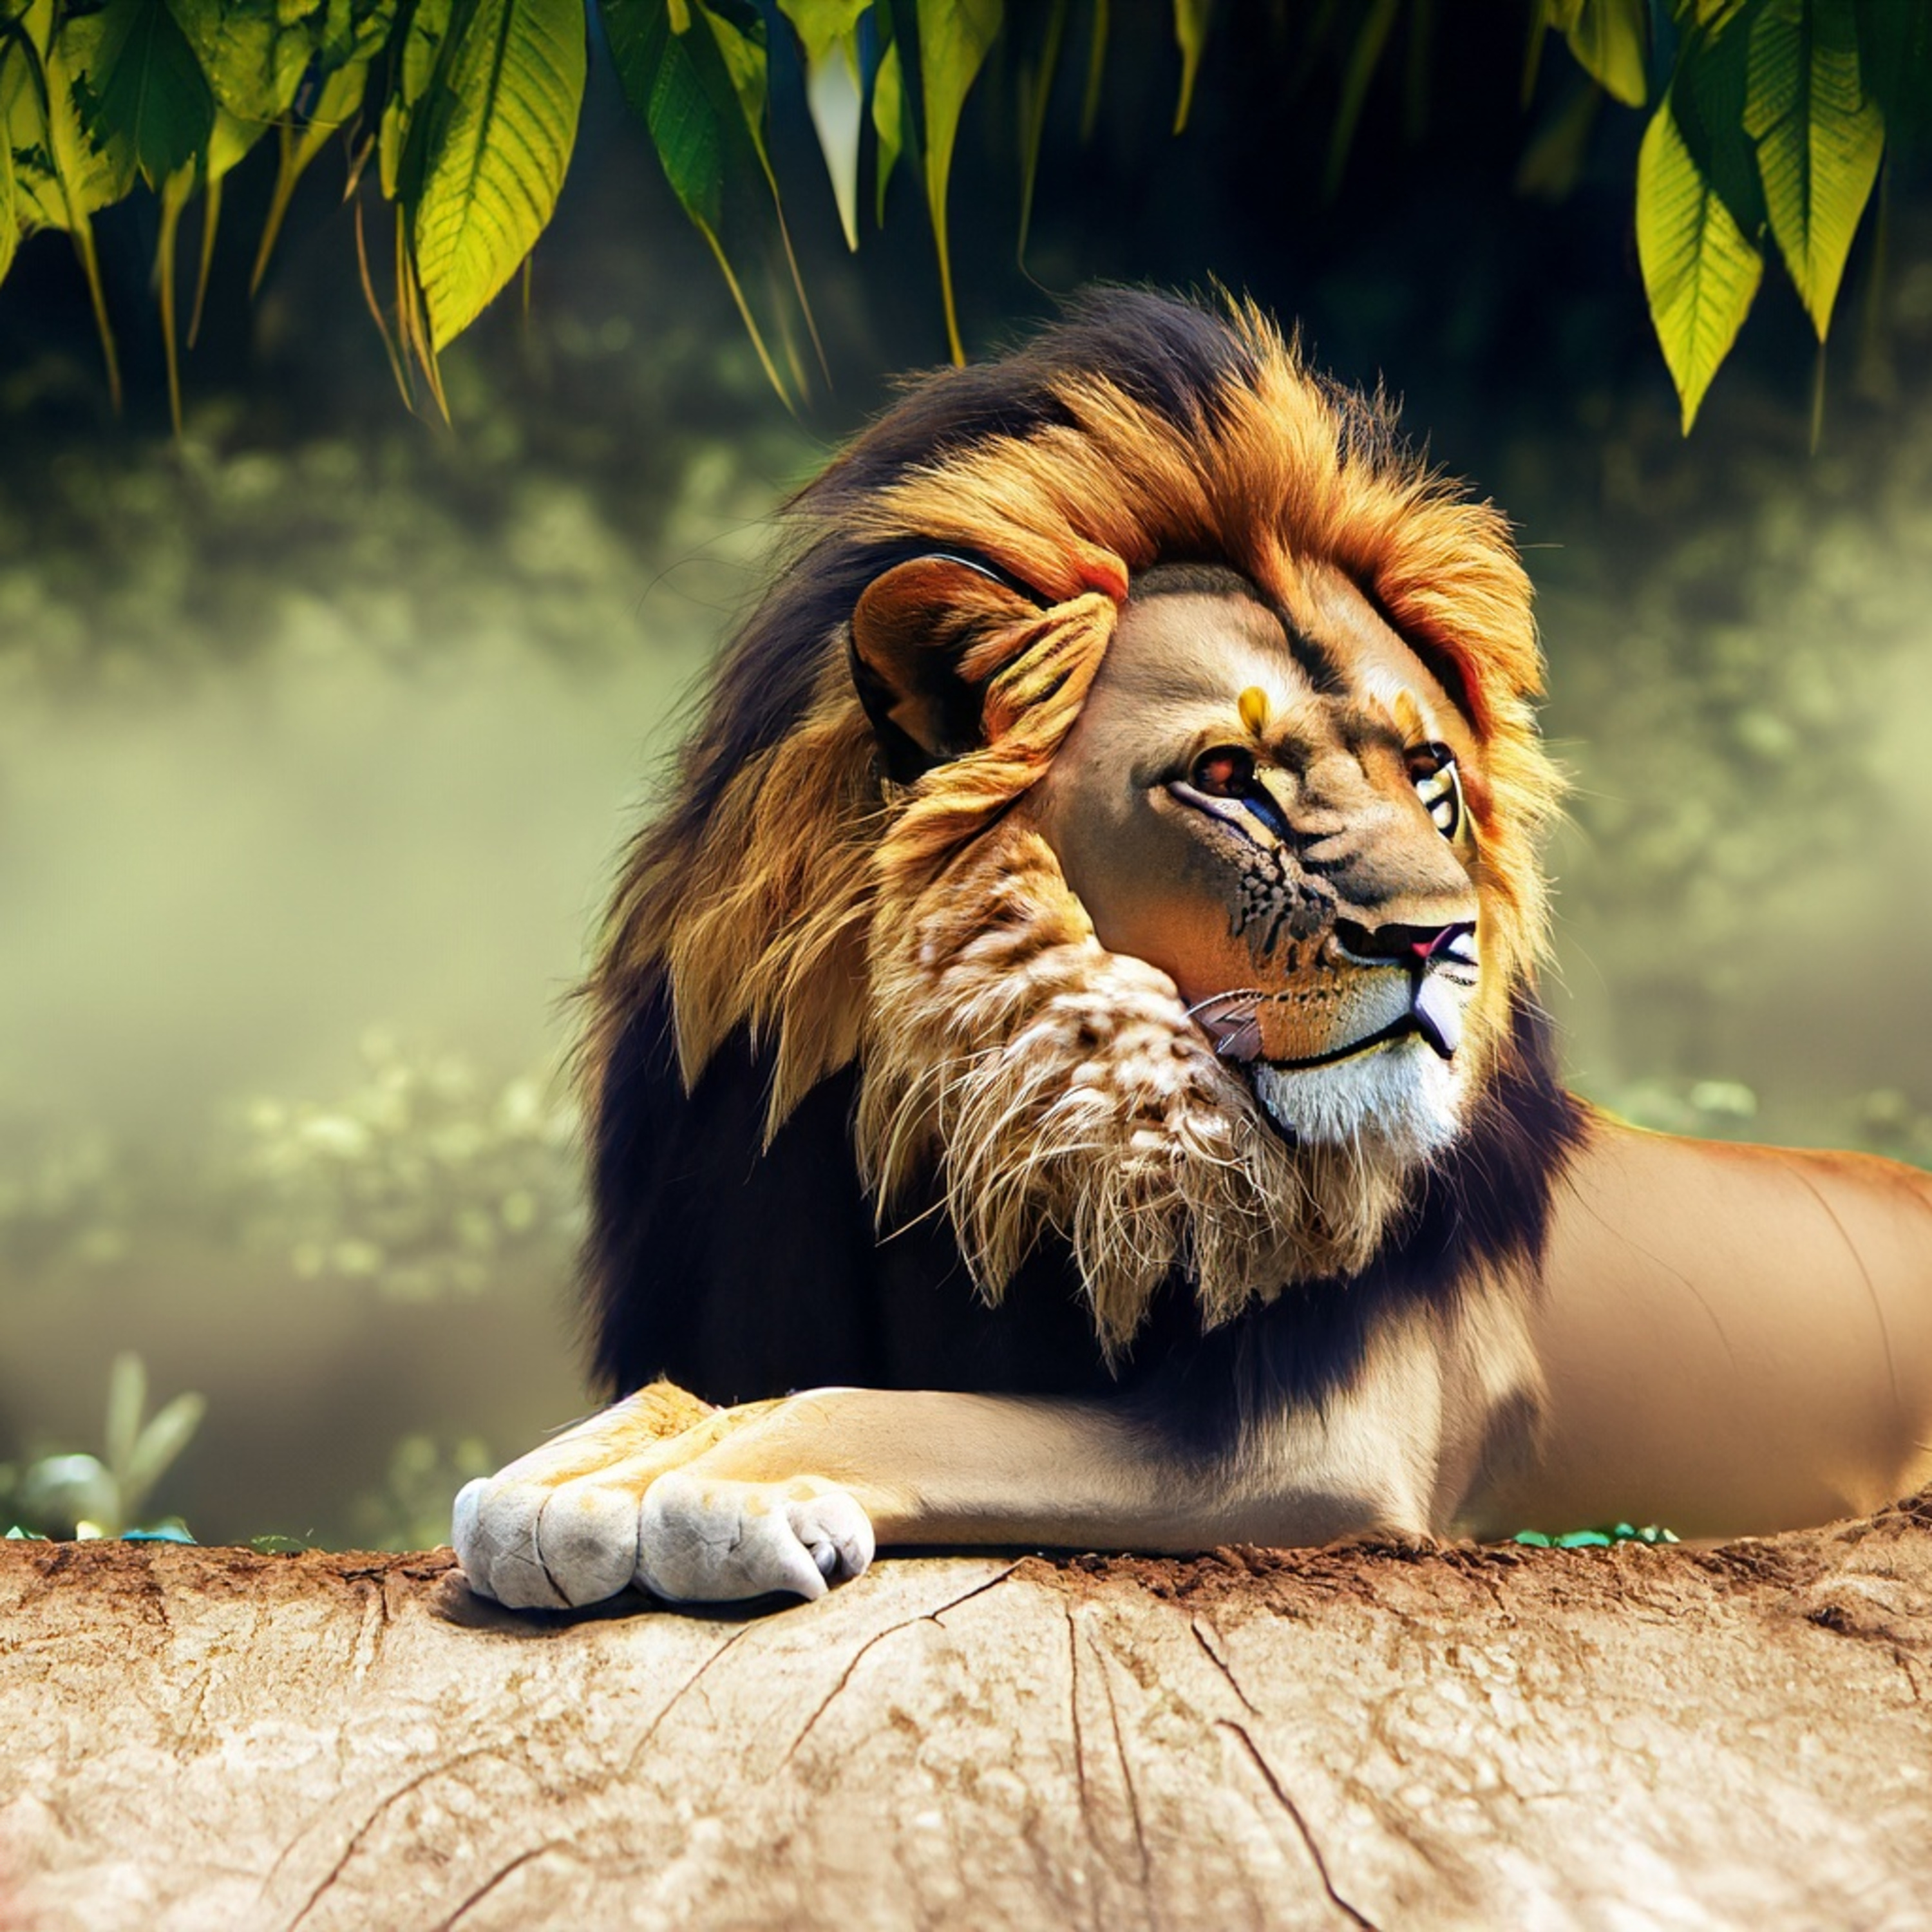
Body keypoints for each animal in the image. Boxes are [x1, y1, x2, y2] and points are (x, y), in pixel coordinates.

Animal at [454, 291, 1932, 1610]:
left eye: (1432, 777)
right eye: (1230, 777)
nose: (1440, 936)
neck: (972, 1135)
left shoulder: (1329, 1441)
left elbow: (896, 1407)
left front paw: (699, 1493)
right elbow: (684, 1396)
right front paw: (564, 1487)